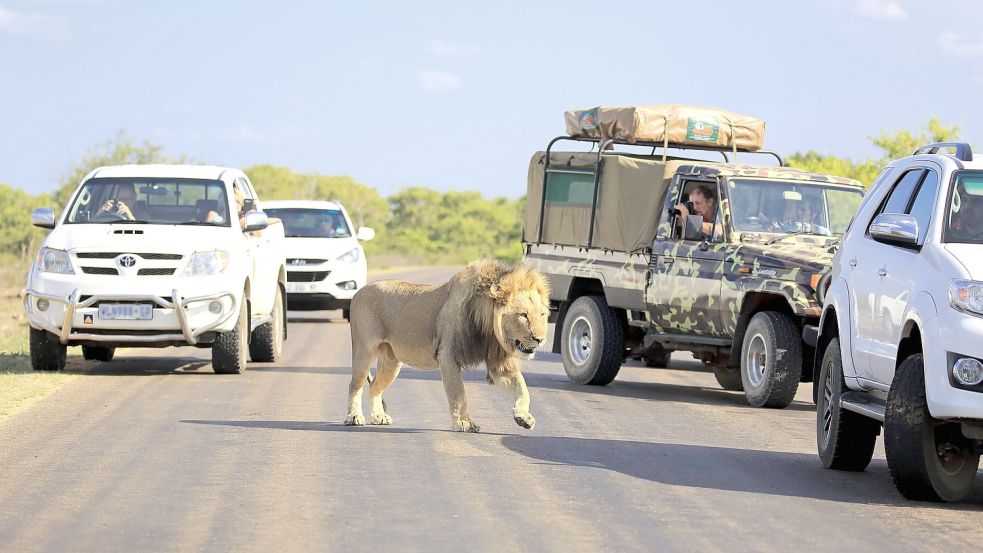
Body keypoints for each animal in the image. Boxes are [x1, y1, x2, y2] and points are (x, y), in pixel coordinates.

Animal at [346, 258, 548, 432]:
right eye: (523, 315)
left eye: (543, 315)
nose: (540, 339)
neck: (488, 328)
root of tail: (359, 291)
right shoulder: (448, 355)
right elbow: (458, 392)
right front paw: (464, 423)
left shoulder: (499, 363)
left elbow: (522, 387)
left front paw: (524, 417)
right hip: (364, 349)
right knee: (355, 384)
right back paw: (354, 417)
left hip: (391, 362)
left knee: (374, 386)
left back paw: (379, 416)